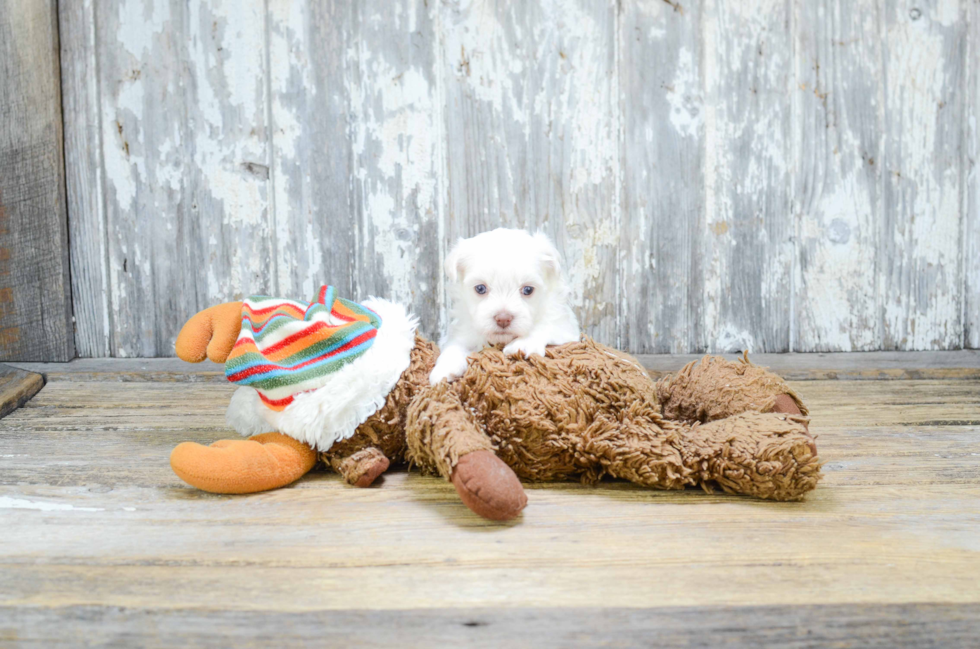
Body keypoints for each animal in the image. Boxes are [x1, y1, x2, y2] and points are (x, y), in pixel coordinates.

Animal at [430, 228, 580, 382]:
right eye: (480, 288)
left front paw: (523, 343)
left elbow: (545, 326)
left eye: (528, 290)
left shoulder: (565, 327)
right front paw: (444, 369)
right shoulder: (461, 330)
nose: (503, 318)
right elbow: (455, 345)